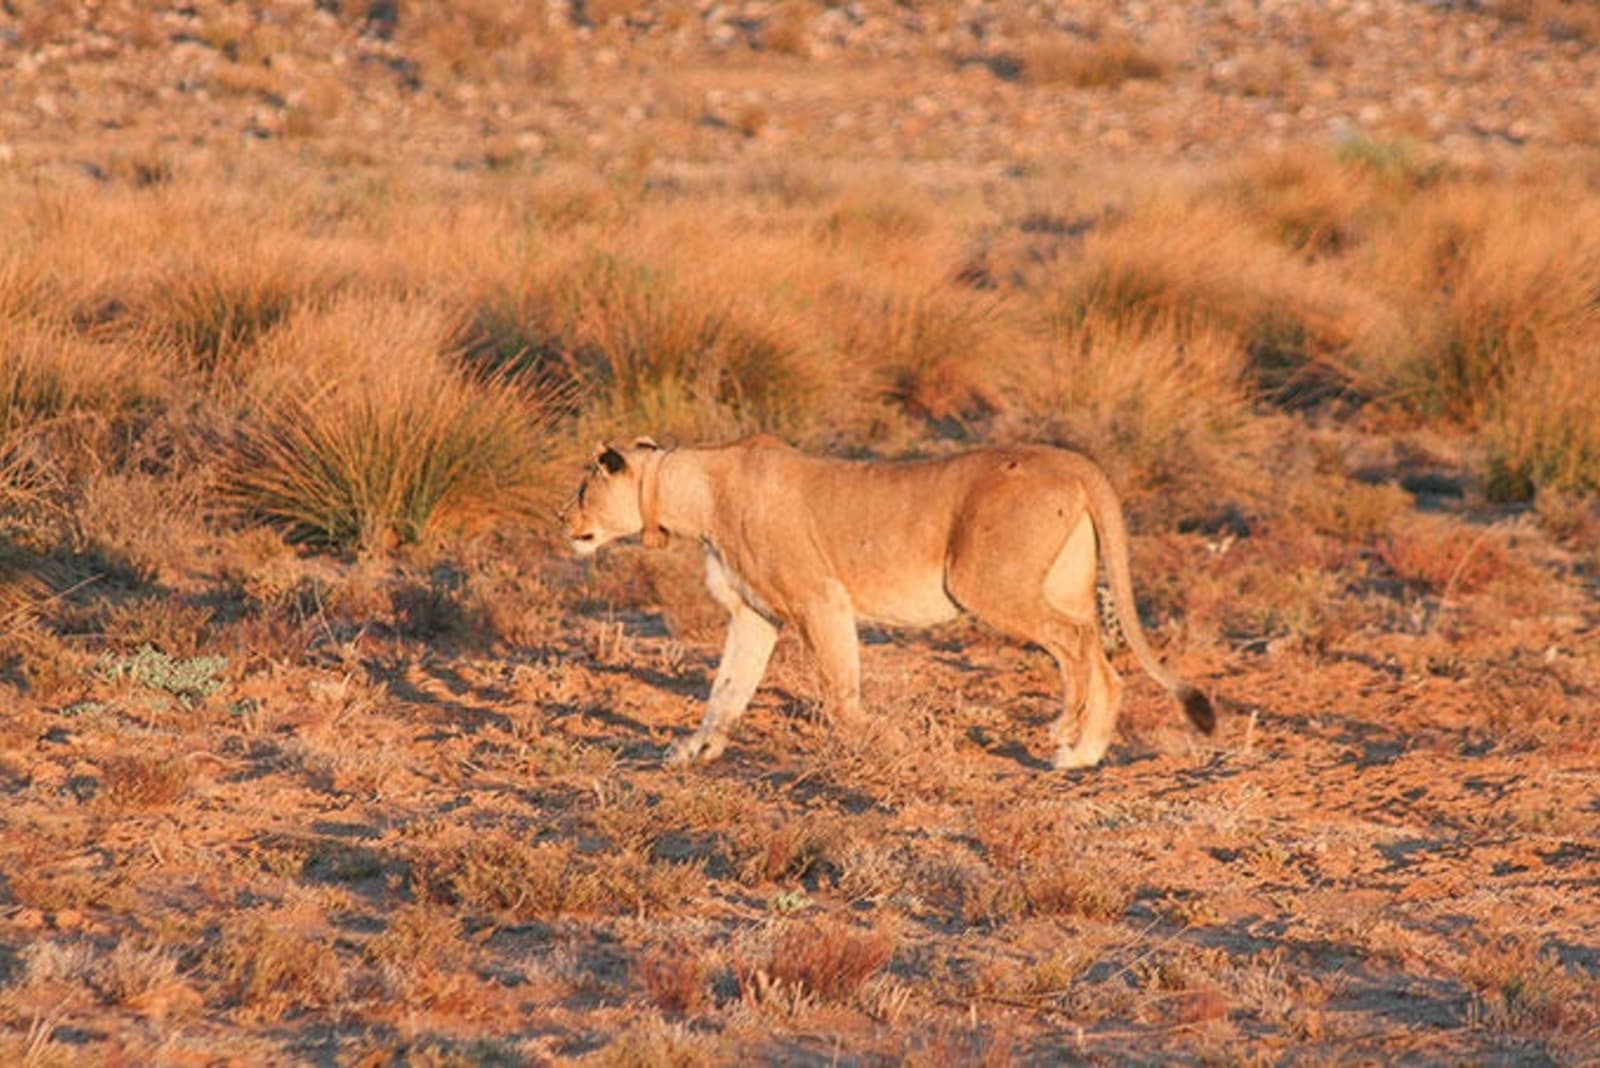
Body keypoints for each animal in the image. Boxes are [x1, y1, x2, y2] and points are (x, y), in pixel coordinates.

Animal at [565, 435, 1214, 769]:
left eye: (582, 487)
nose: (560, 518)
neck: (694, 495)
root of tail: (1073, 459)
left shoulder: (820, 600)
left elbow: (839, 692)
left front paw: (889, 743)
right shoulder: (756, 616)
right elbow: (726, 691)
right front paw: (694, 751)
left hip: (983, 582)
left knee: (1079, 646)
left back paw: (1072, 739)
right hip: (1062, 583)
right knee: (1100, 655)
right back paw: (1086, 748)